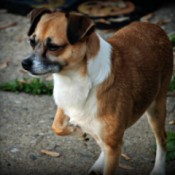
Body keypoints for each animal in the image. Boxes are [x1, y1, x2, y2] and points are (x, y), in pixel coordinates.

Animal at [21, 8, 173, 175]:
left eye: (54, 47)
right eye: (32, 41)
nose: (24, 64)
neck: (77, 80)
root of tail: (157, 28)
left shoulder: (114, 147)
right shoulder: (65, 105)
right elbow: (57, 127)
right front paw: (79, 131)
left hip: (156, 108)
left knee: (162, 139)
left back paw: (158, 169)